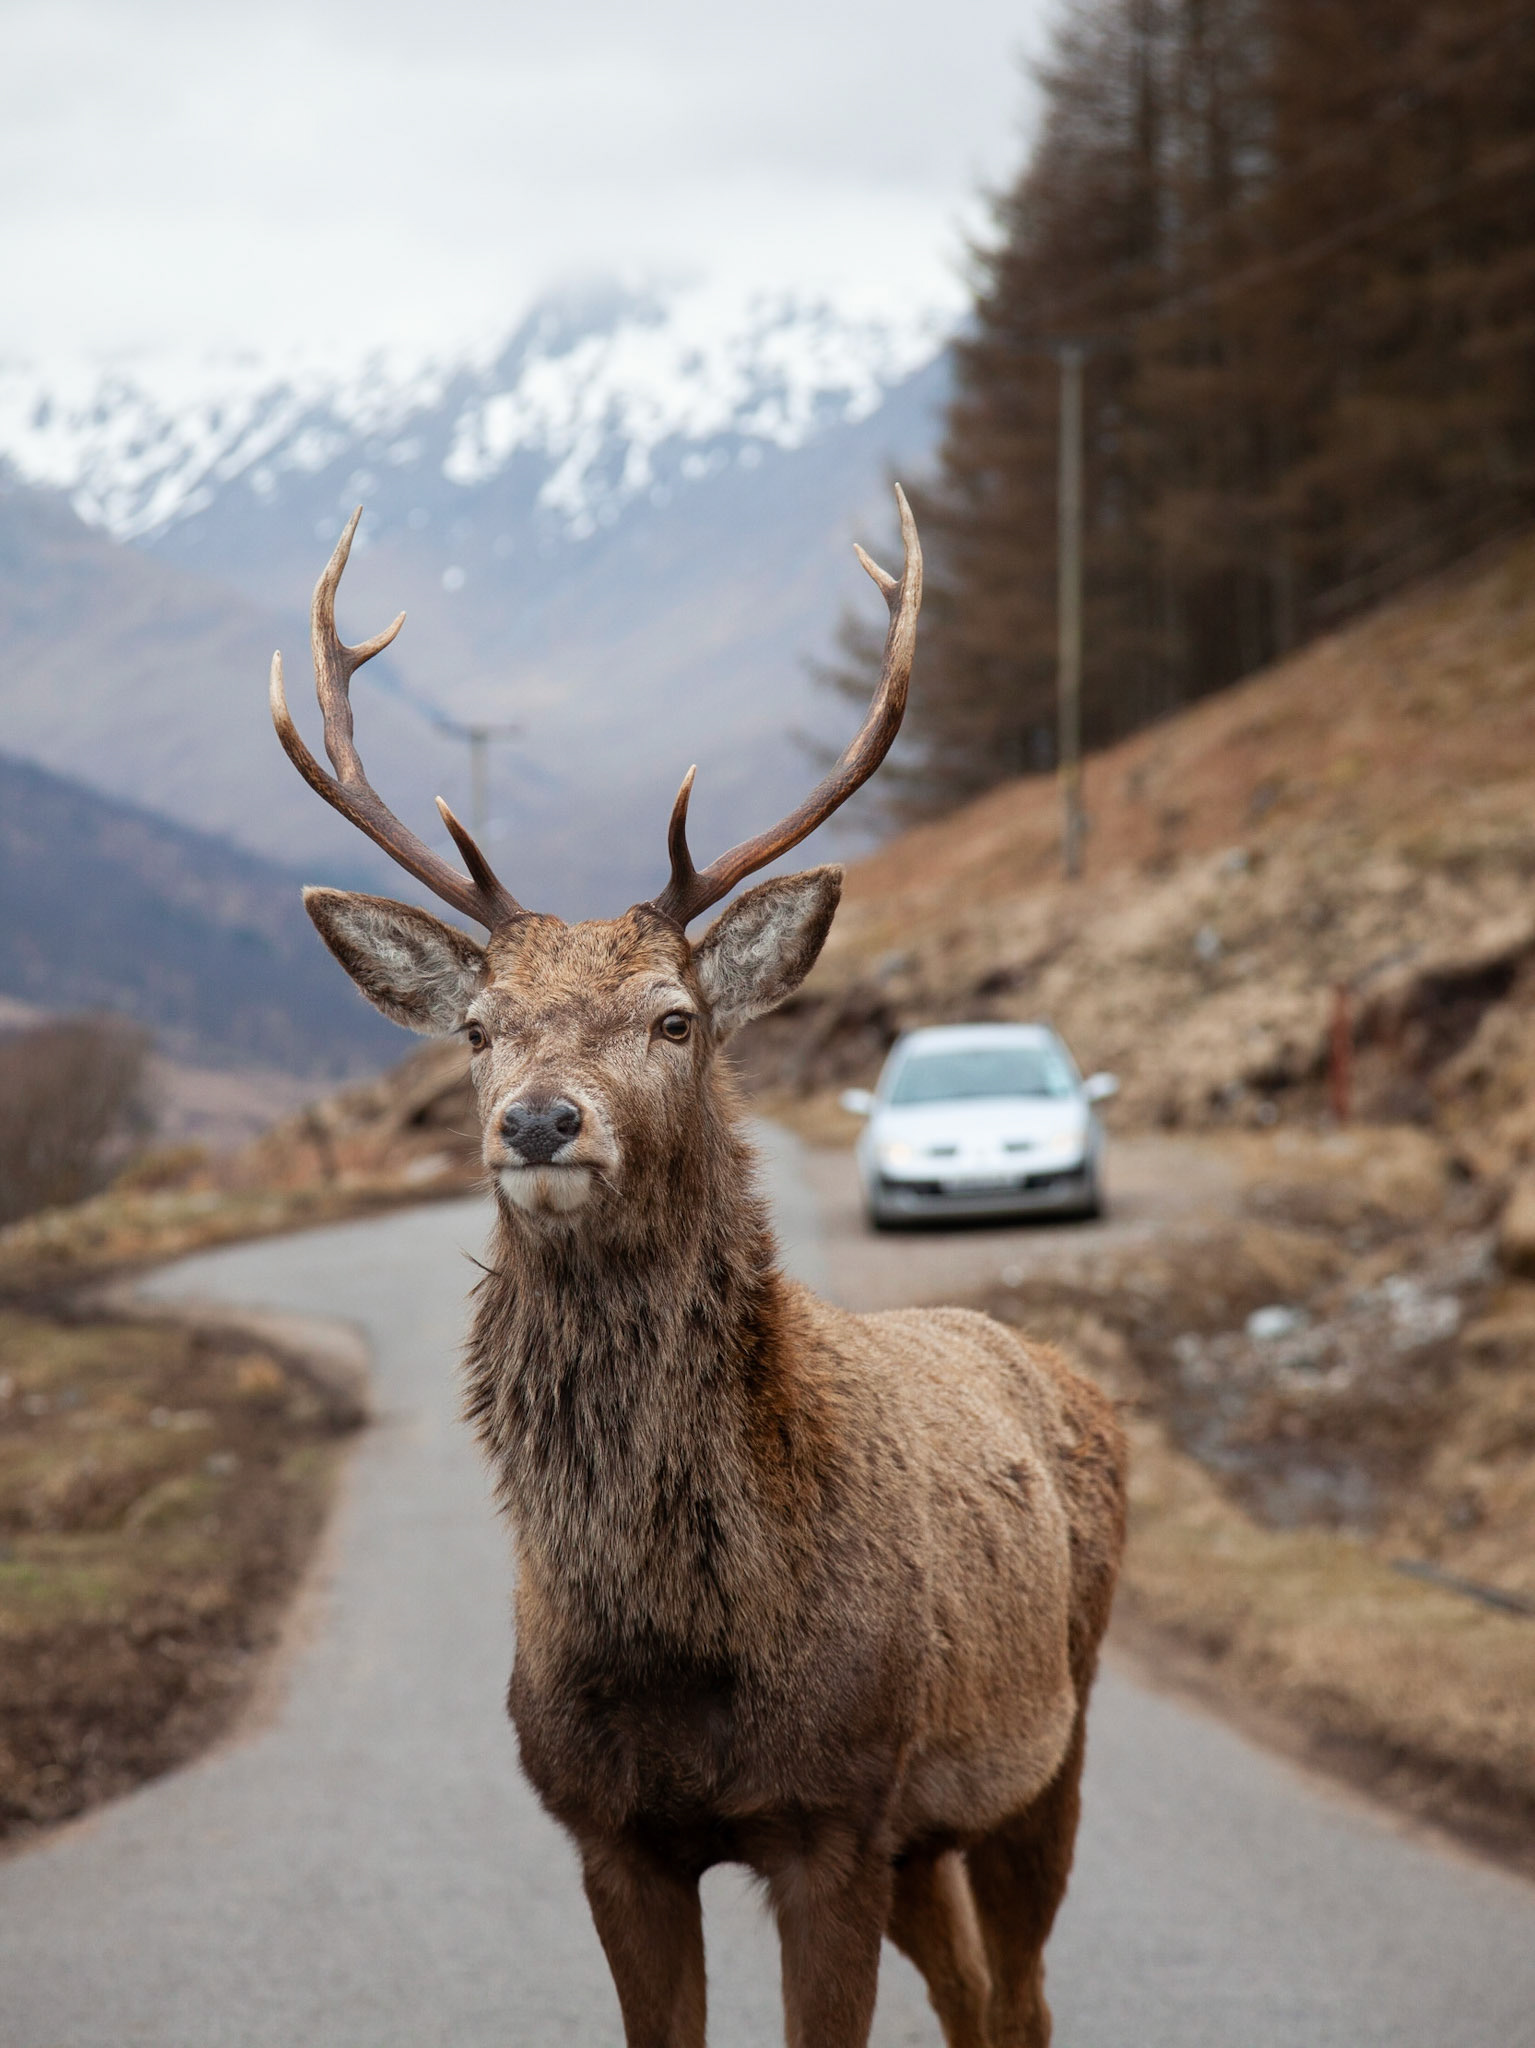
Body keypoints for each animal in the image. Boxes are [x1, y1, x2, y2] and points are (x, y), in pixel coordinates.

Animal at [269, 490, 1127, 2048]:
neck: (678, 1642)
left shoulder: (833, 1809)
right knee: (975, 1993)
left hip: (1049, 1737)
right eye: (476, 1026)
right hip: (927, 1833)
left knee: (1021, 1996)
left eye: (673, 1017)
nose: (538, 1120)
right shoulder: (606, 1827)